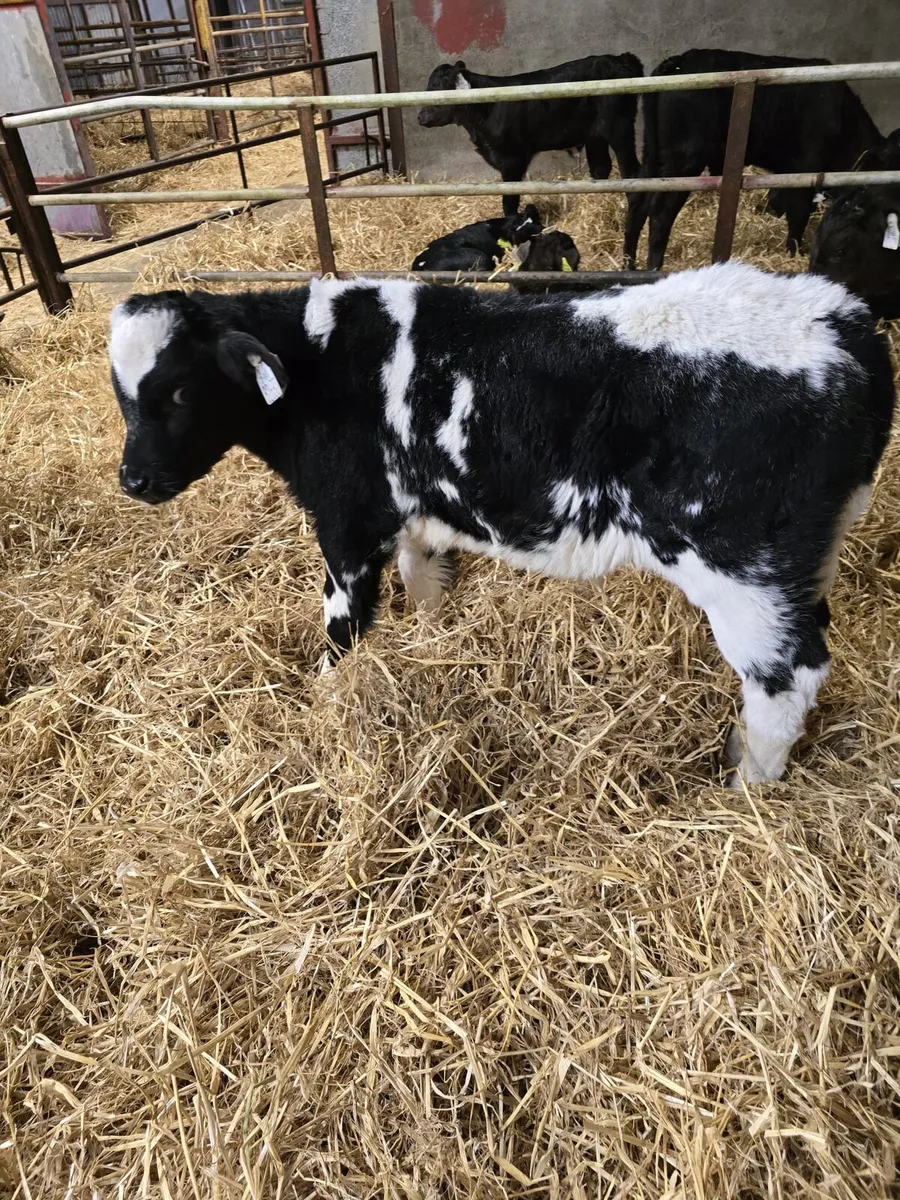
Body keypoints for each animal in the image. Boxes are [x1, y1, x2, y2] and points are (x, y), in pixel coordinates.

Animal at [108, 263, 894, 785]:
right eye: (122, 397)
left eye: (179, 391)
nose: (133, 482)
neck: (317, 364)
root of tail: (844, 319)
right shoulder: (414, 514)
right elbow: (425, 585)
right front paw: (433, 644)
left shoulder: (348, 523)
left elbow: (342, 630)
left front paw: (327, 705)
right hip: (807, 560)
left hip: (744, 572)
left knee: (788, 678)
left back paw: (748, 784)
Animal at [418, 55, 642, 217]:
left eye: (437, 89)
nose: (420, 117)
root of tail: (620, 59)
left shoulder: (513, 159)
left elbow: (509, 201)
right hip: (595, 136)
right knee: (601, 168)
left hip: (619, 128)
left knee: (631, 170)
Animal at [623, 49, 882, 271]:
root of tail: (675, 63)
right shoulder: (805, 165)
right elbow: (798, 211)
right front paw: (793, 252)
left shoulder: (786, 171)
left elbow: (778, 201)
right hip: (685, 158)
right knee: (661, 211)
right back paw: (654, 267)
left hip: (652, 152)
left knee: (638, 201)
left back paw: (629, 263)